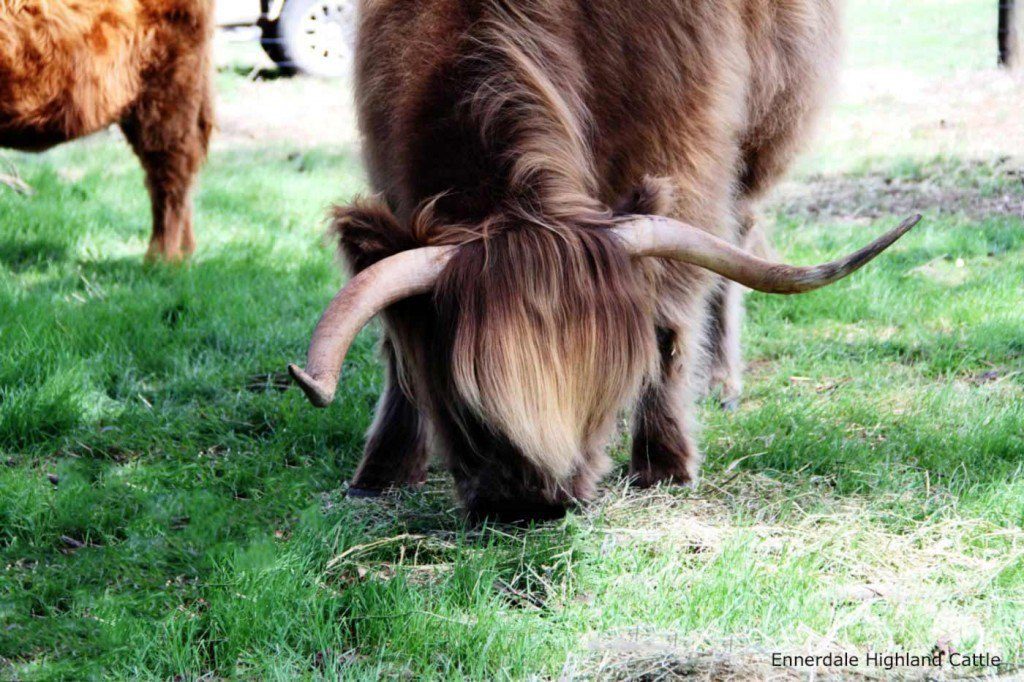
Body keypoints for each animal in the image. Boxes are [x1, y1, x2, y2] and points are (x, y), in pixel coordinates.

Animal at [290, 0, 921, 518]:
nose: (530, 504)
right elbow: (395, 340)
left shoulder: (685, 151)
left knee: (736, 248)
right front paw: (382, 470)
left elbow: (671, 319)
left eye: (605, 397)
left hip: (761, 145)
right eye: (465, 408)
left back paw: (722, 381)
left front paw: (665, 462)